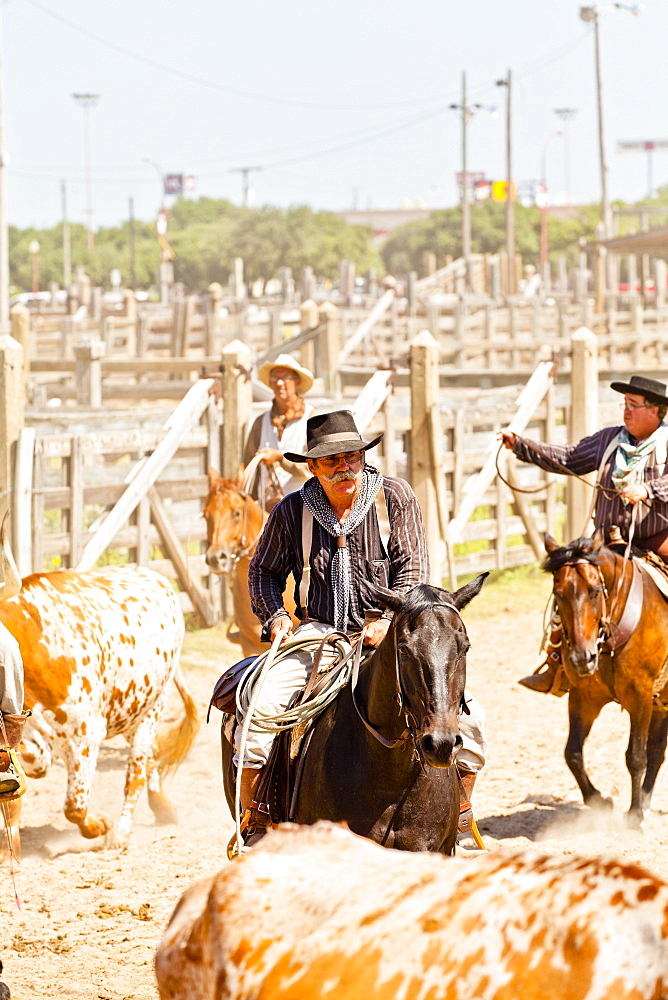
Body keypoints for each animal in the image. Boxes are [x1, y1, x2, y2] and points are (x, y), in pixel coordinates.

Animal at [0, 524, 198, 852]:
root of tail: (155, 577)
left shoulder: (86, 733)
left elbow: (74, 807)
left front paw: (100, 825)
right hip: (131, 707)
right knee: (152, 755)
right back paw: (163, 808)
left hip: (152, 707)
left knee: (136, 771)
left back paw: (122, 831)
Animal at [544, 528, 668, 824]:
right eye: (558, 593)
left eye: (595, 591)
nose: (582, 658)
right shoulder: (584, 697)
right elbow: (572, 753)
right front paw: (599, 800)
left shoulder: (640, 698)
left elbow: (636, 756)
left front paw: (634, 814)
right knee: (658, 749)